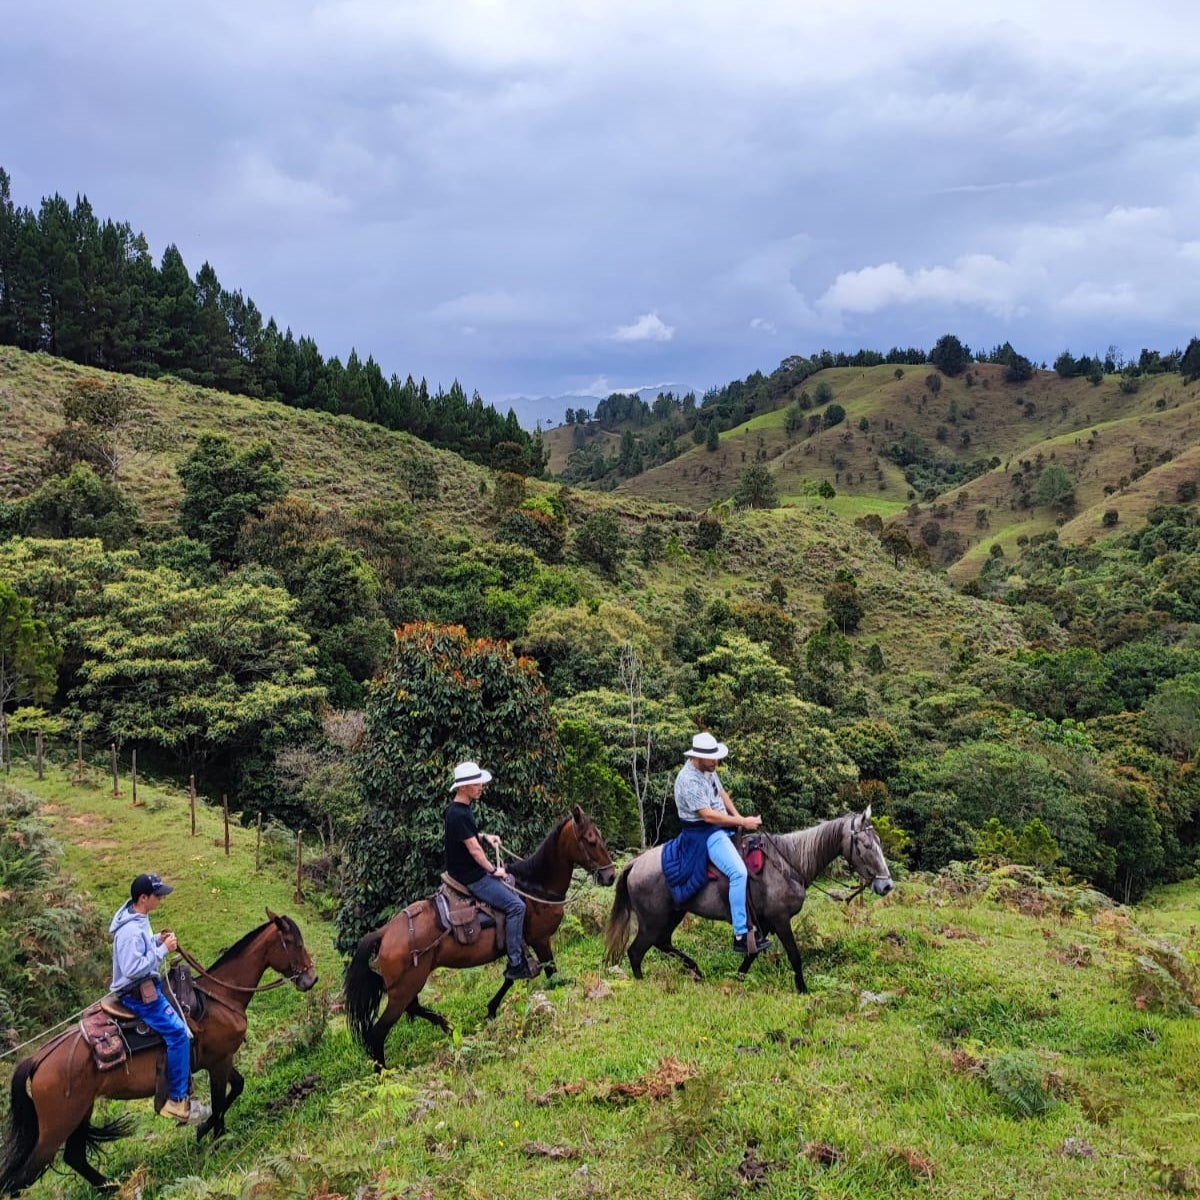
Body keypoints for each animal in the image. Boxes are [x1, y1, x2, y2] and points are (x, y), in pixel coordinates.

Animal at [0, 907, 314, 1190]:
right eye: (295, 943)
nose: (311, 979)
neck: (220, 997)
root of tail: (37, 1059)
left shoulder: (220, 1060)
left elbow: (236, 1087)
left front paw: (205, 1130)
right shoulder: (219, 1062)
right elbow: (220, 1100)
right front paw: (217, 1139)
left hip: (80, 1112)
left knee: (74, 1157)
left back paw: (112, 1187)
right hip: (57, 1125)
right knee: (22, 1177)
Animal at [343, 806, 614, 1070]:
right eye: (591, 841)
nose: (610, 876)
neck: (535, 888)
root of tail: (385, 931)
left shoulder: (518, 947)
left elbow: (510, 977)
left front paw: (491, 1010)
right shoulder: (540, 940)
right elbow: (550, 971)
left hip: (409, 984)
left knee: (413, 1007)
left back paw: (447, 1026)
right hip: (404, 988)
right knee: (378, 1032)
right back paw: (382, 1073)